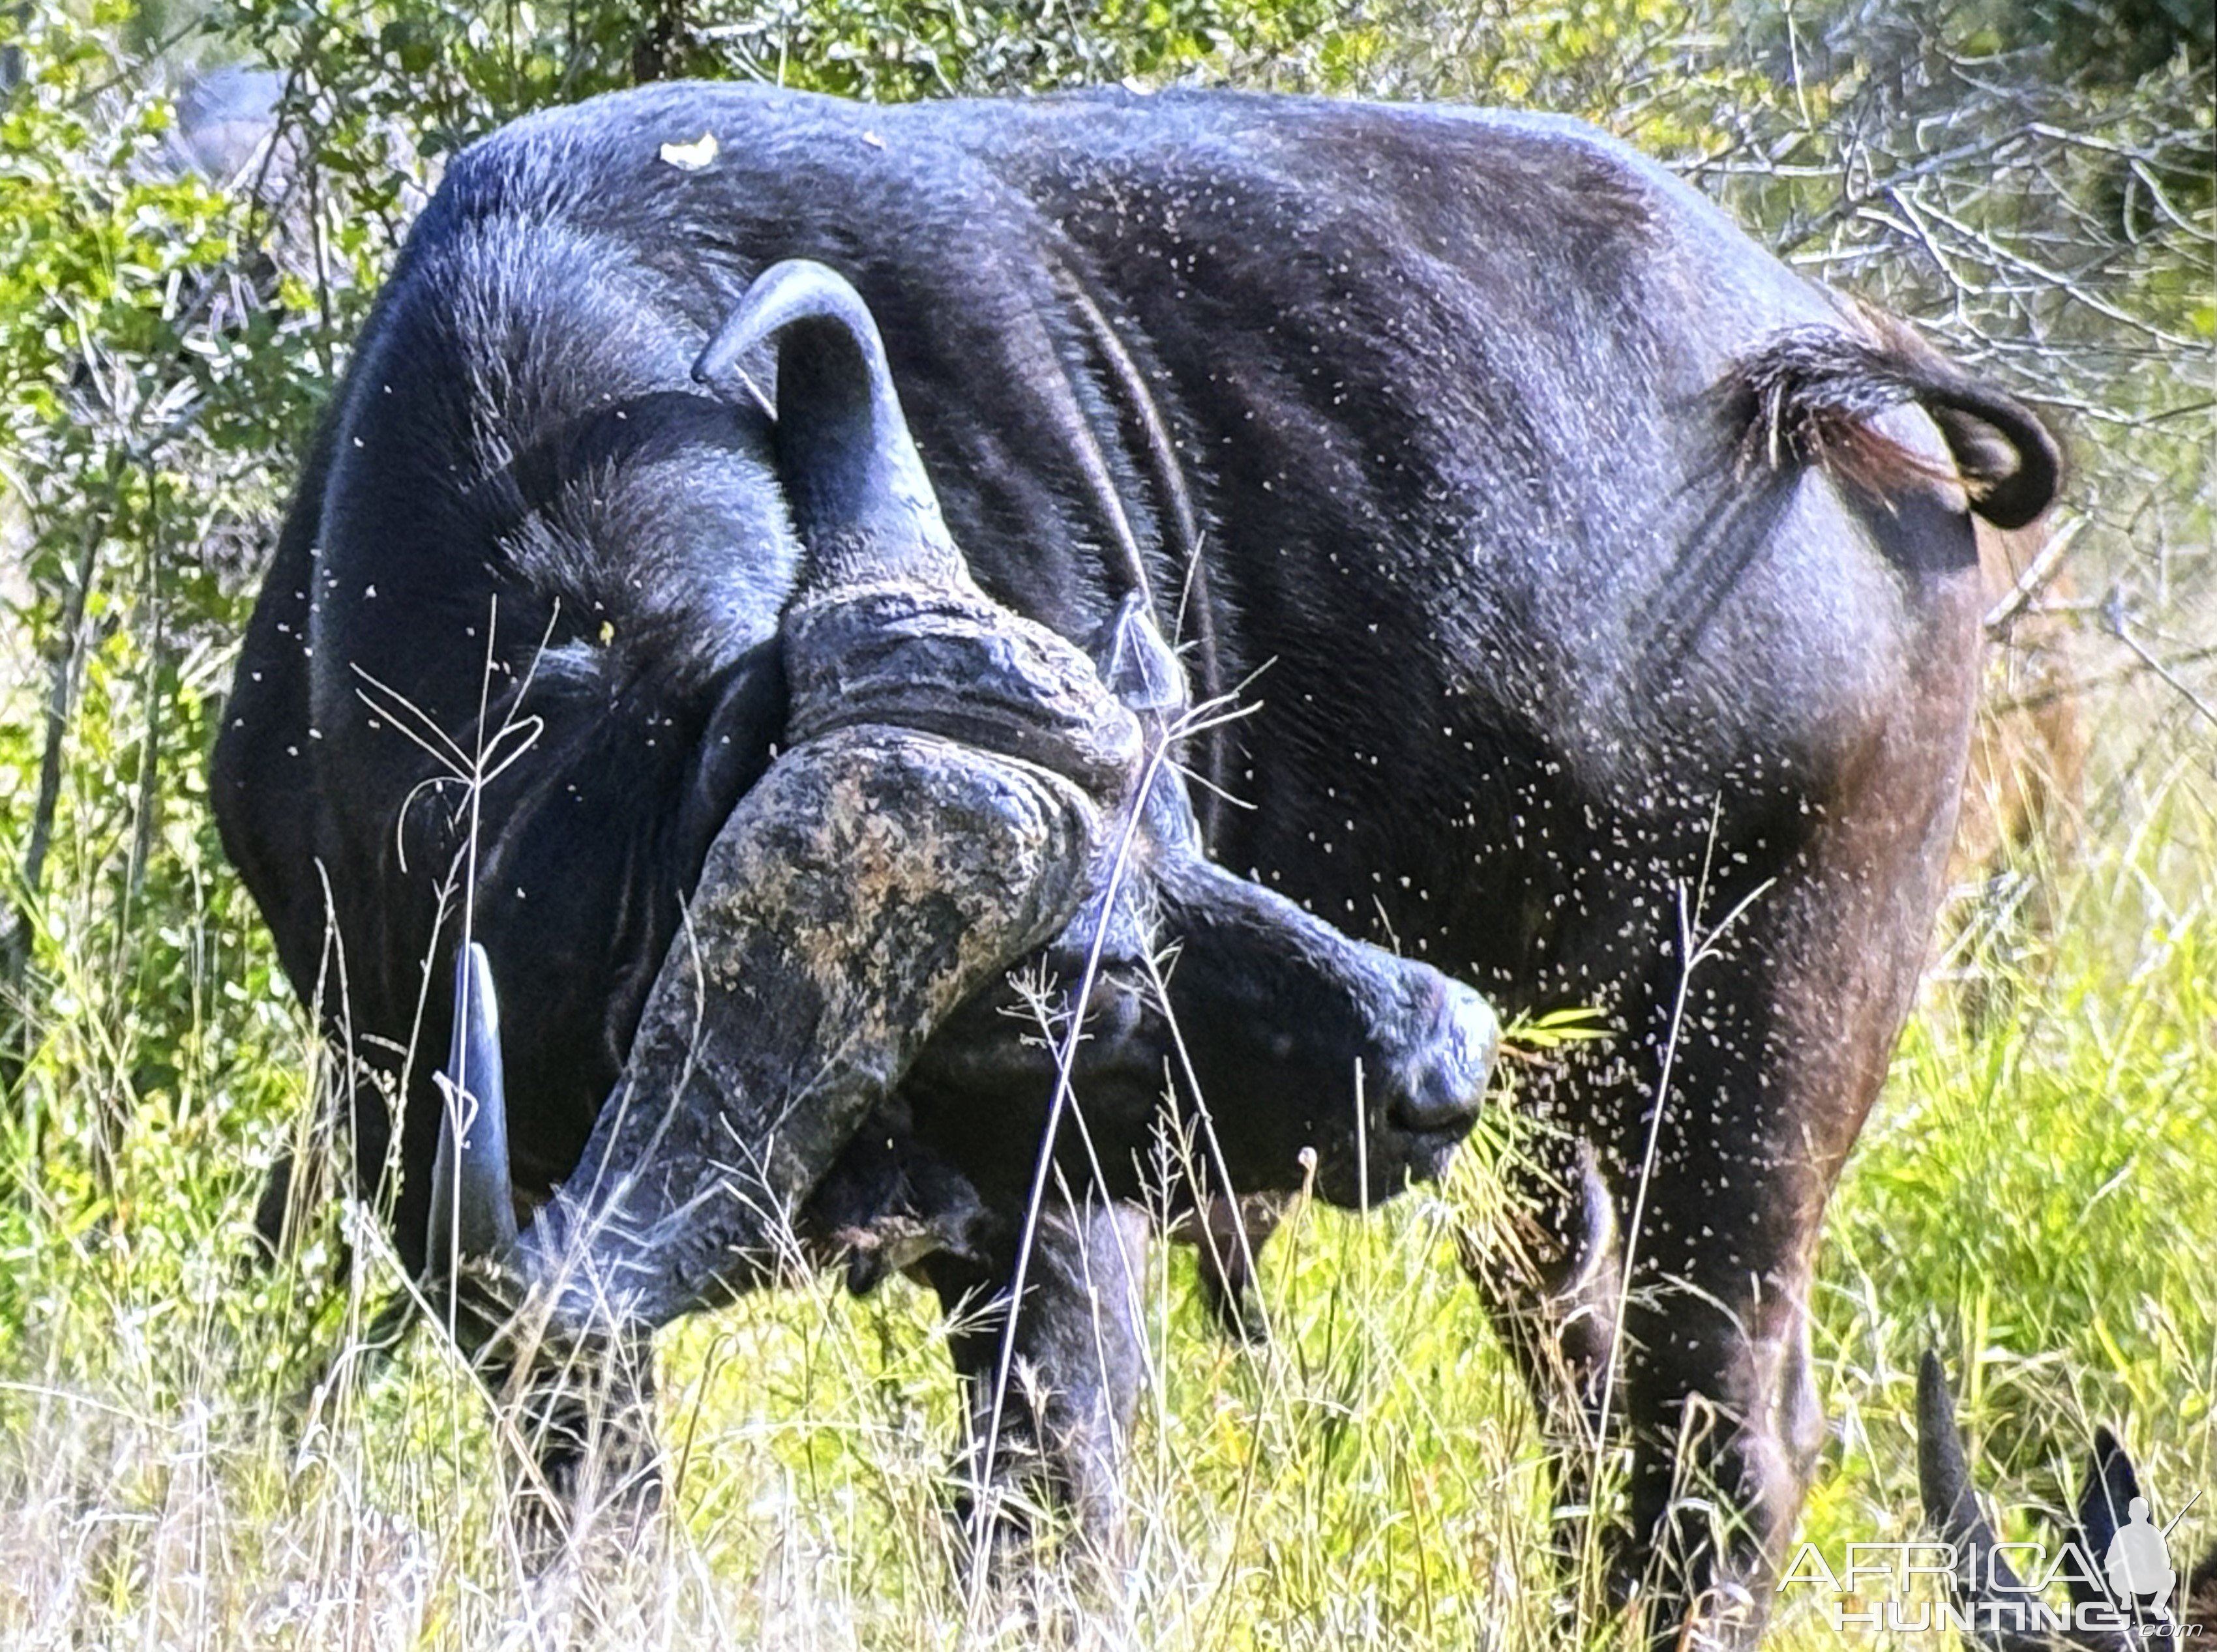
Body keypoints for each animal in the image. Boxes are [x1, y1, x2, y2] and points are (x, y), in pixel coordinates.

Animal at [211, 83, 2057, 1640]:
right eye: (1061, 988)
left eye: (1167, 825)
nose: (1434, 1054)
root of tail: (1837, 378)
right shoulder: (458, 1208)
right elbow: (593, 1518)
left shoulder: (1057, 1258)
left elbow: (1042, 1530)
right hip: (1564, 1122)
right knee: (1589, 1389)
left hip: (1757, 1040)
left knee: (1725, 1436)